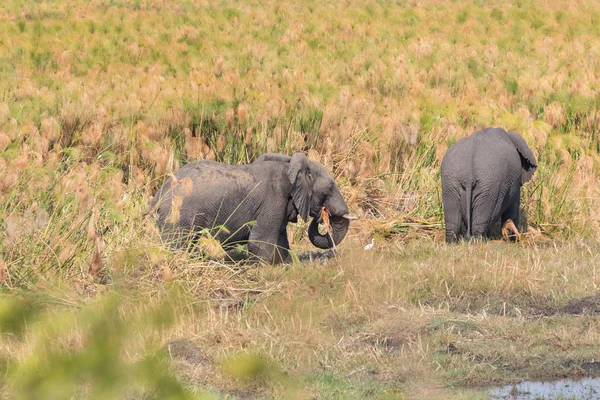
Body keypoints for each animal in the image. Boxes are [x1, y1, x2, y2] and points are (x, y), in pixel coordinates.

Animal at [146, 152, 354, 262]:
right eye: (330, 188)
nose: (321, 215)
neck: (291, 164)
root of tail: (159, 193)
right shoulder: (273, 199)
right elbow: (262, 244)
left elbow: (279, 241)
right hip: (178, 215)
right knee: (177, 245)